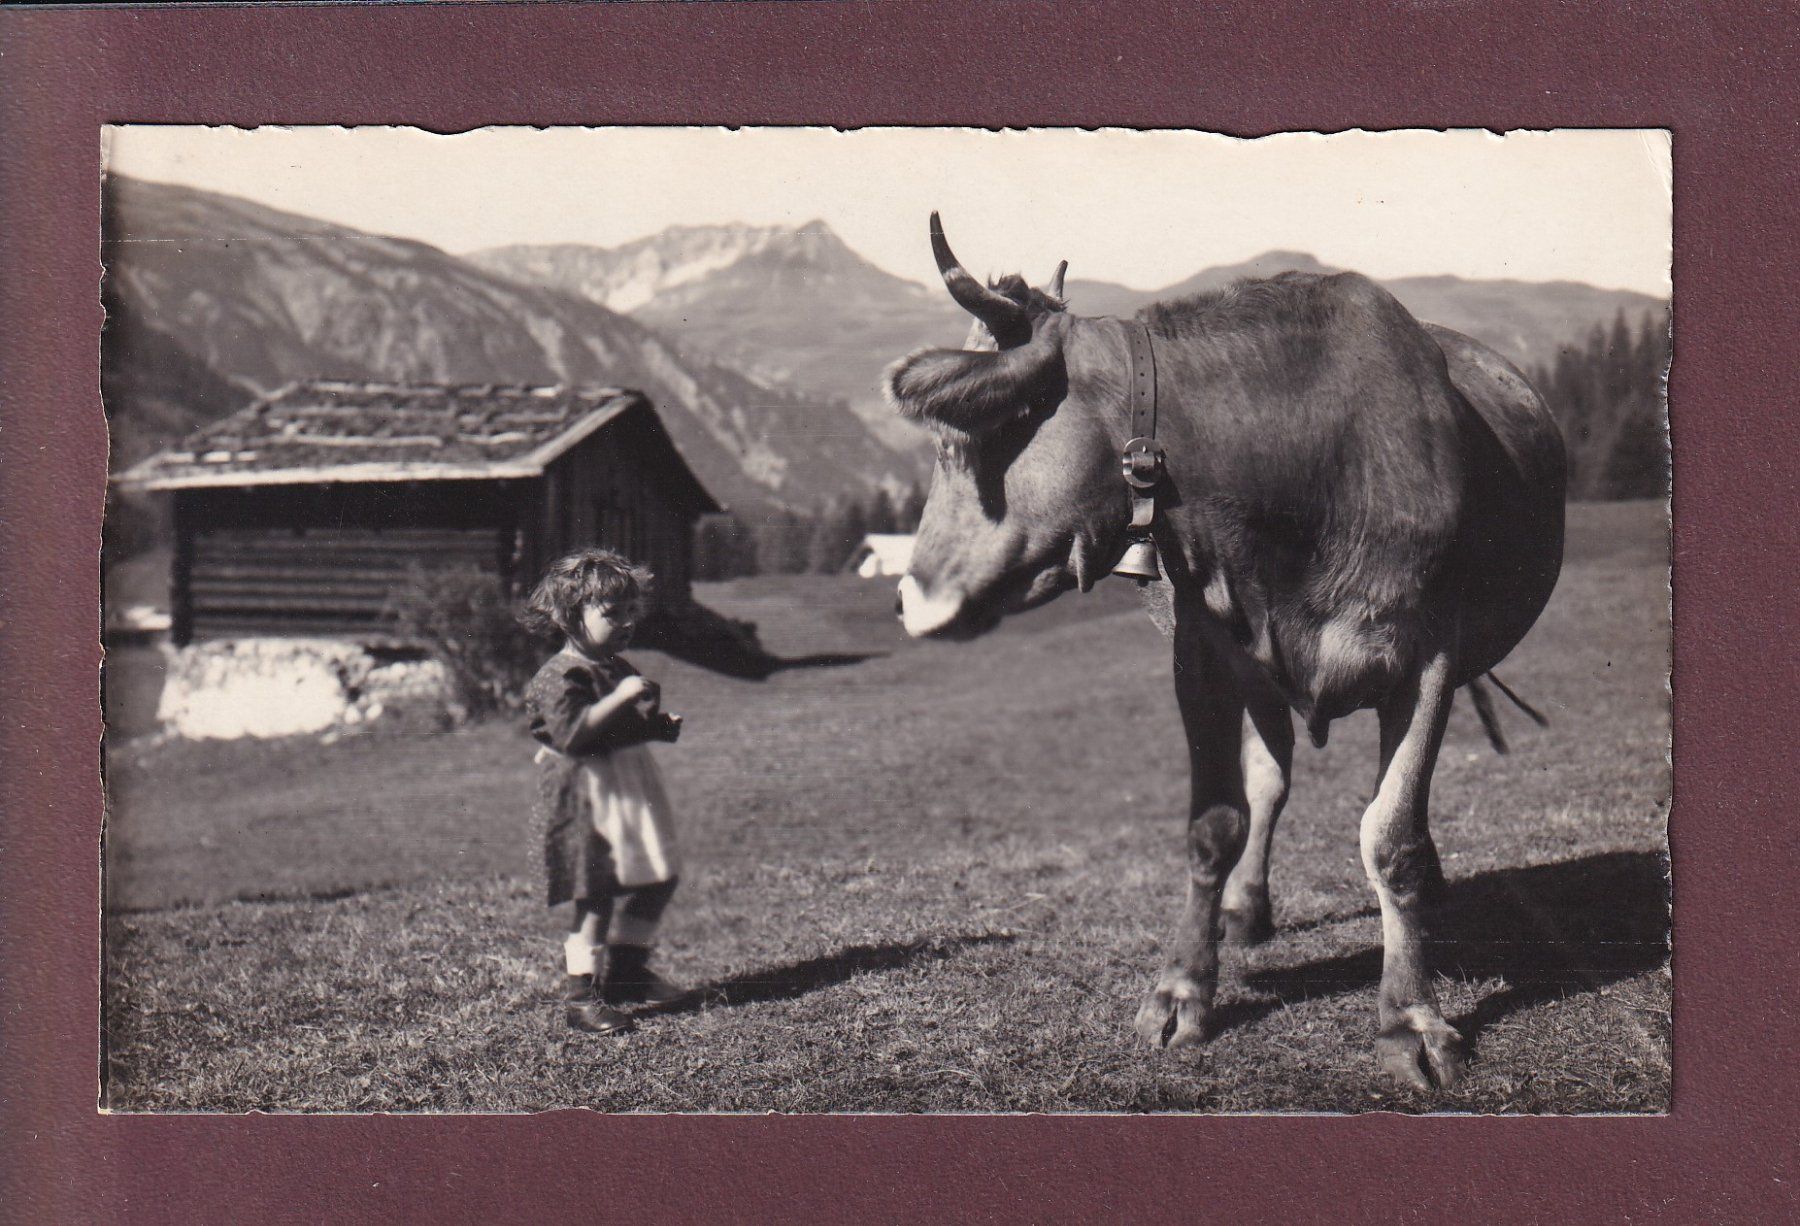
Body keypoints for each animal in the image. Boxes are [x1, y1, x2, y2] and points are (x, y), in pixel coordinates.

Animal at [886, 215, 1565, 1091]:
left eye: (960, 440)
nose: (905, 597)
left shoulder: (1429, 661)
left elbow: (1393, 838)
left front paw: (1411, 1018)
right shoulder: (1202, 655)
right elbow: (1216, 820)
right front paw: (1182, 990)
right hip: (1261, 680)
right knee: (1268, 780)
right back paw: (1246, 907)